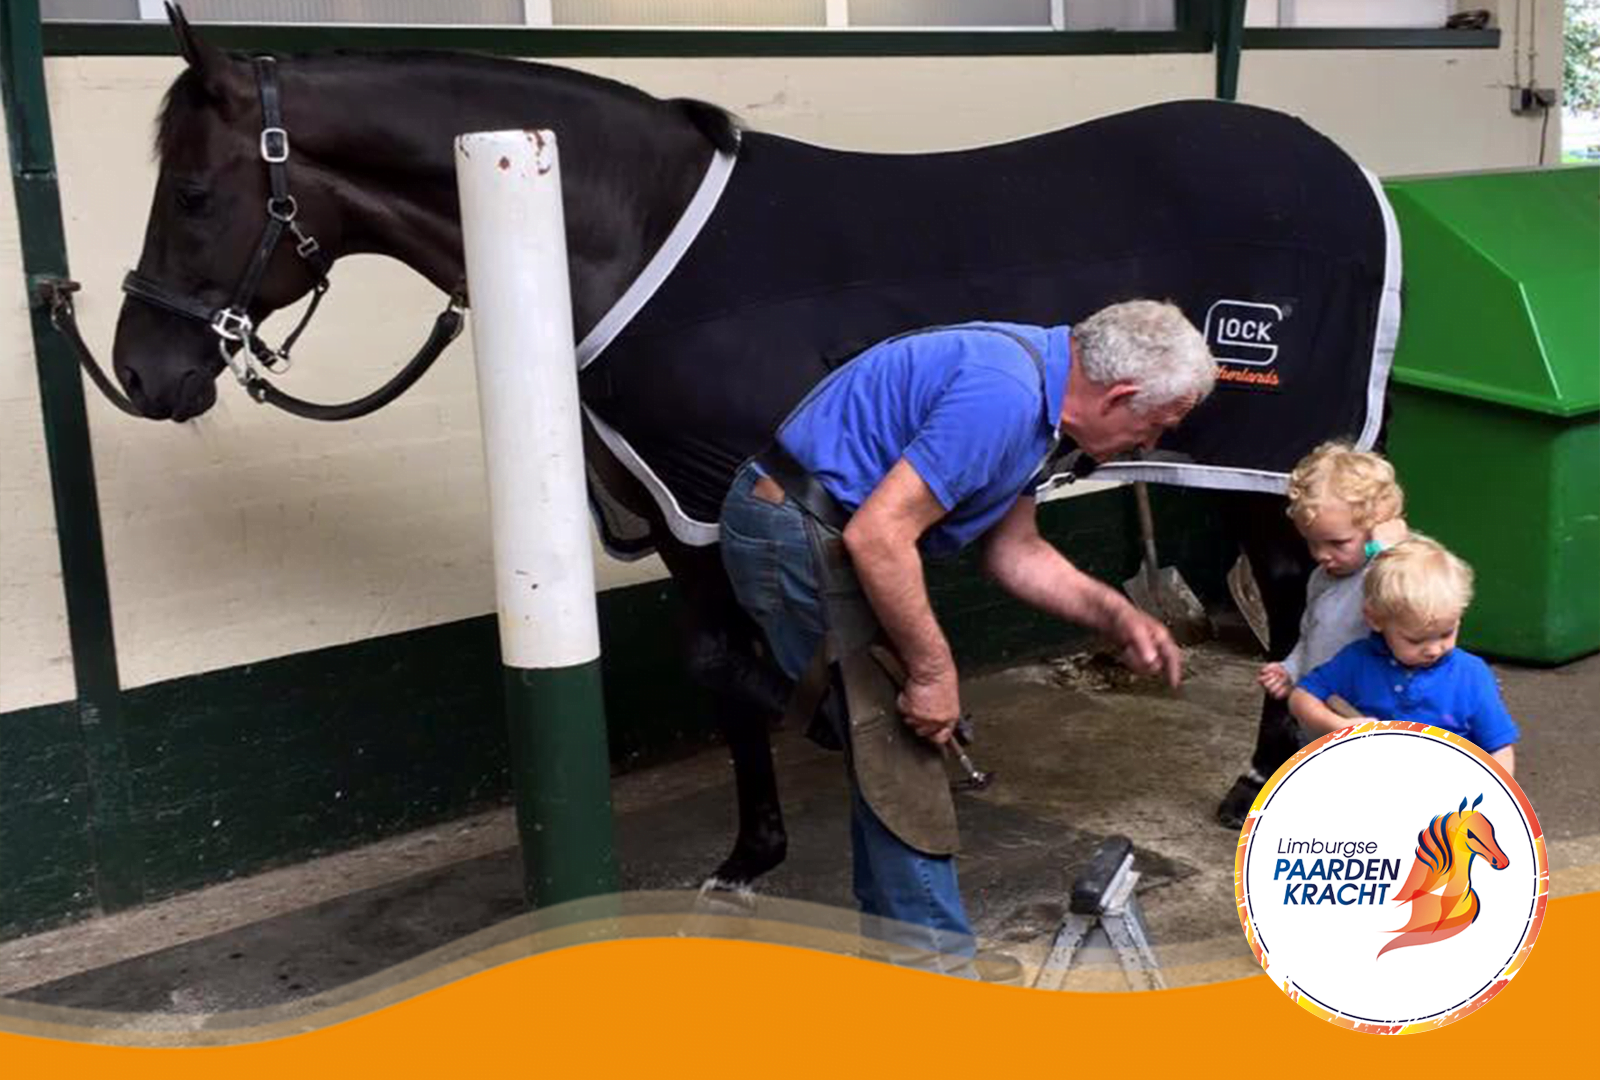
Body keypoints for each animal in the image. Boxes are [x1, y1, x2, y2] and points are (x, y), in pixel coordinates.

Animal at [109, 10, 1388, 889]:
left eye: (195, 192)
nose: (140, 373)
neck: (619, 232)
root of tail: (1346, 168)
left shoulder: (707, 491)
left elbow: (741, 672)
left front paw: (765, 840)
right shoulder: (675, 509)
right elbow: (736, 670)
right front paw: (776, 821)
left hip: (1267, 454)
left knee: (1290, 588)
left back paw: (1251, 777)